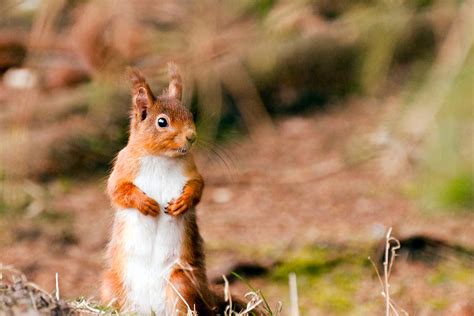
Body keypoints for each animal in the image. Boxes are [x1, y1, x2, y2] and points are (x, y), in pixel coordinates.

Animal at [100, 63, 220, 314]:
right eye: (162, 122)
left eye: (190, 114)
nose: (191, 137)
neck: (161, 158)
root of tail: (149, 309)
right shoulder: (123, 168)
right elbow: (117, 191)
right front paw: (145, 203)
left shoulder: (192, 171)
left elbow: (198, 187)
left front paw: (182, 203)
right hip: (111, 286)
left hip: (181, 282)